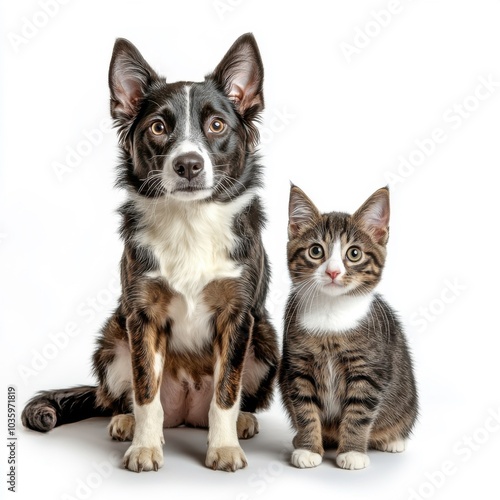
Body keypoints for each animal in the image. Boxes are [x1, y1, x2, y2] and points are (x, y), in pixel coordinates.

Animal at [21, 32, 280, 472]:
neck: (190, 221)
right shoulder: (142, 316)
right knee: (126, 398)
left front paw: (224, 447)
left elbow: (226, 393)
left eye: (216, 125)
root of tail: (187, 413)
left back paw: (243, 421)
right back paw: (126, 421)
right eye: (158, 127)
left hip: (265, 339)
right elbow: (146, 393)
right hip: (112, 339)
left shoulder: (237, 315)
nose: (188, 165)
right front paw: (144, 447)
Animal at [282, 186, 418, 470]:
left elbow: (359, 412)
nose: (333, 272)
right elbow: (305, 408)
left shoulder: (369, 369)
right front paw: (308, 448)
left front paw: (353, 452)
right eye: (315, 251)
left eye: (354, 253)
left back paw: (393, 440)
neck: (331, 311)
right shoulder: (298, 365)